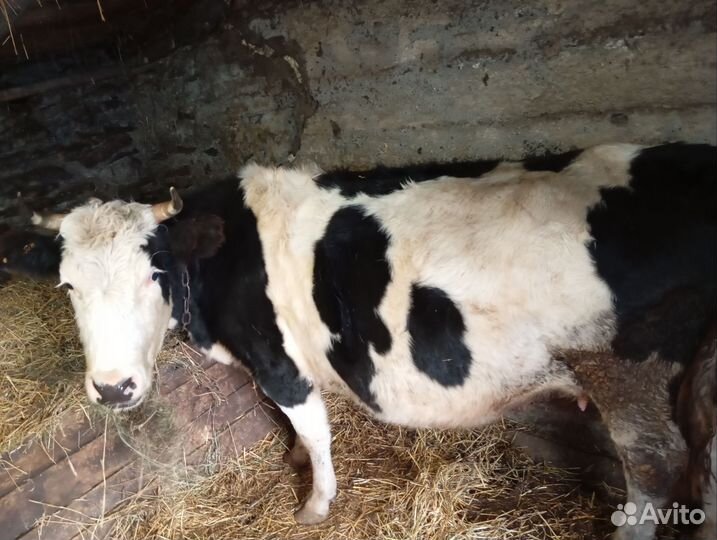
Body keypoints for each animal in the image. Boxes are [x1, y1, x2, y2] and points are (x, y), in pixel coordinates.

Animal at [1, 142, 715, 540]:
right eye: (67, 284)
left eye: (153, 273)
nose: (113, 388)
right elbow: (299, 431)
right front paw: (293, 460)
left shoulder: (279, 362)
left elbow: (315, 430)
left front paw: (315, 504)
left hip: (625, 373)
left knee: (655, 463)